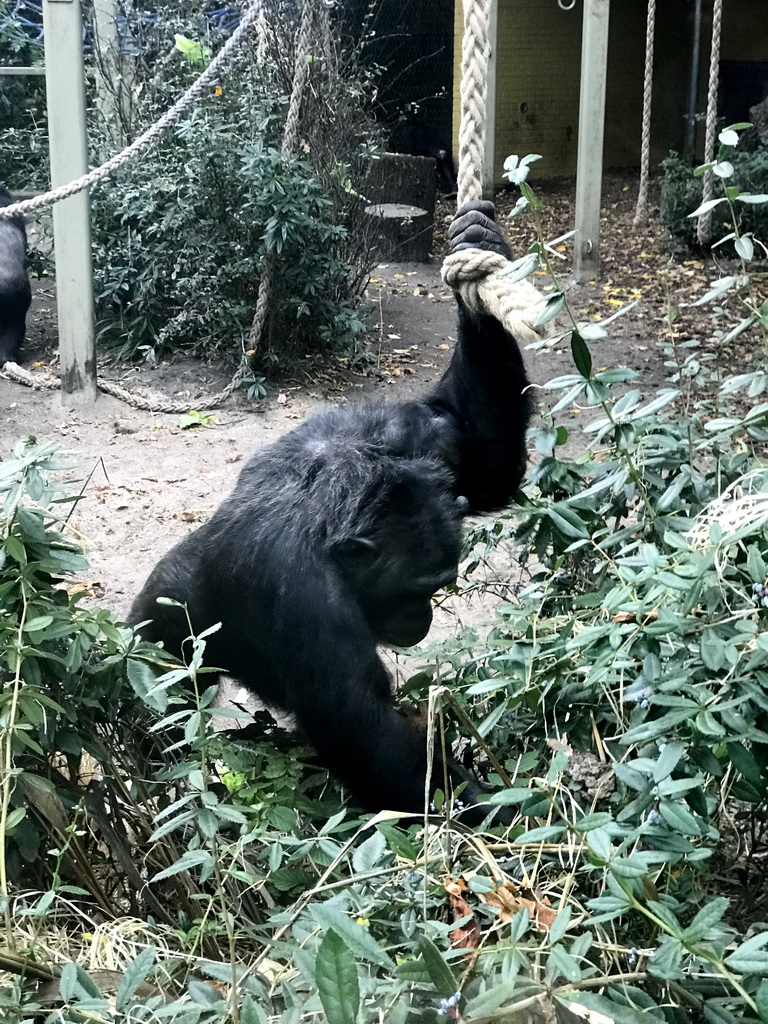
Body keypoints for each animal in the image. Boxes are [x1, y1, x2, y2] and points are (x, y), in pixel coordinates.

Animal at [131, 199, 536, 823]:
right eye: (418, 588)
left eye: (440, 586)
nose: (423, 617)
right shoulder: (305, 604)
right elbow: (366, 734)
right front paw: (503, 814)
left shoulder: (414, 440)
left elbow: (478, 450)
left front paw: (481, 240)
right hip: (158, 638)